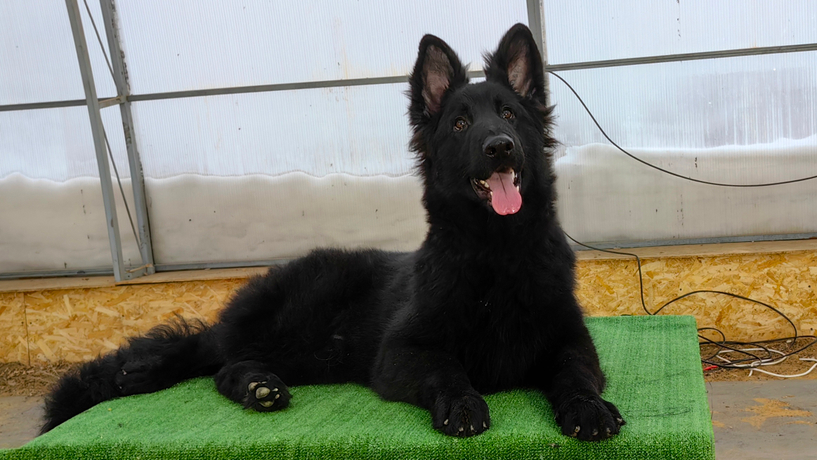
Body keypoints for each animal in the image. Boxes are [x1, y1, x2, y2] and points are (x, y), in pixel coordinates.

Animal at [42, 23, 624, 441]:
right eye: (460, 124)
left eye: (509, 114)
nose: (499, 146)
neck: (496, 253)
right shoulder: (401, 353)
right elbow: (448, 370)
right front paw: (463, 404)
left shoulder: (572, 340)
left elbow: (573, 372)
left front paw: (589, 408)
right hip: (300, 335)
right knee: (220, 364)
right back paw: (255, 387)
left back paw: (259, 386)